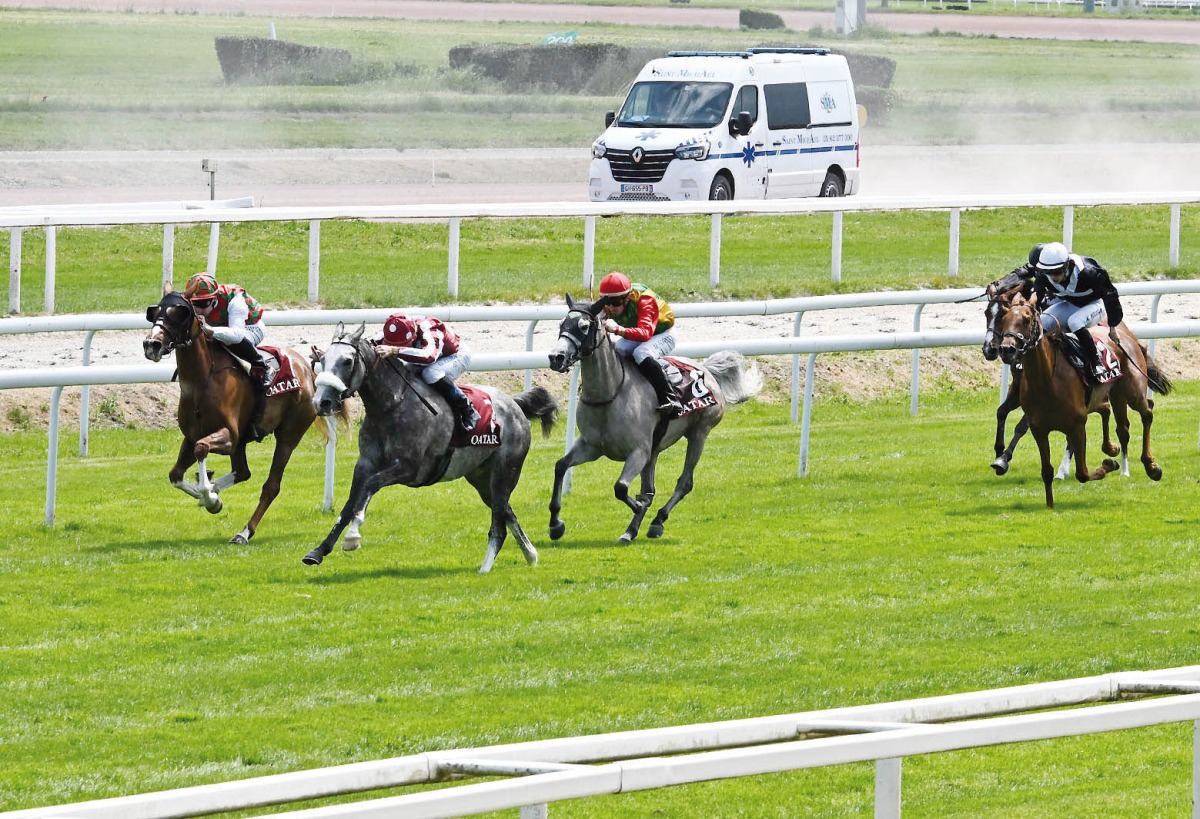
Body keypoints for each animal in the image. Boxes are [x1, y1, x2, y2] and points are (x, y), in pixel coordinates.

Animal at [146, 287, 343, 542]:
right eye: (154, 312)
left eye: (178, 314)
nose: (151, 344)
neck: (203, 380)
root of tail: (308, 370)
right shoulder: (192, 436)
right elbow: (176, 474)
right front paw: (211, 496)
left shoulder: (229, 435)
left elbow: (202, 448)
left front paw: (210, 498)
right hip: (244, 441)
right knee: (242, 472)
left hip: (289, 435)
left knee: (271, 485)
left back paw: (244, 531)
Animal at [304, 321, 556, 571]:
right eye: (323, 359)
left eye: (347, 361)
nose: (321, 402)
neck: (390, 406)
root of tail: (514, 404)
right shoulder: (365, 463)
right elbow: (350, 503)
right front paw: (318, 551)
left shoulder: (409, 468)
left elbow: (370, 486)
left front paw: (353, 536)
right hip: (481, 477)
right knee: (506, 512)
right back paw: (531, 555)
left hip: (506, 471)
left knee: (499, 523)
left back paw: (485, 569)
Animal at [544, 293, 758, 542]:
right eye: (561, 324)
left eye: (584, 326)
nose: (556, 357)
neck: (610, 393)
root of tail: (706, 369)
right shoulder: (592, 446)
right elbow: (560, 466)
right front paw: (555, 524)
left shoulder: (638, 451)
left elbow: (621, 488)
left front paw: (638, 507)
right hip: (655, 450)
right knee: (650, 488)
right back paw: (631, 530)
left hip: (699, 433)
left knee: (684, 482)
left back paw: (657, 521)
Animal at [993, 293, 1171, 504]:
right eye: (1003, 319)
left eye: (1026, 320)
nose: (1006, 349)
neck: (1046, 377)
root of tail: (1127, 336)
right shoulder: (1037, 426)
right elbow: (1046, 470)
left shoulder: (1077, 424)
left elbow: (1083, 473)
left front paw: (1109, 465)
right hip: (1115, 394)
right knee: (1120, 424)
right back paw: (1116, 452)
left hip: (1133, 392)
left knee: (1147, 413)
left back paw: (1150, 465)